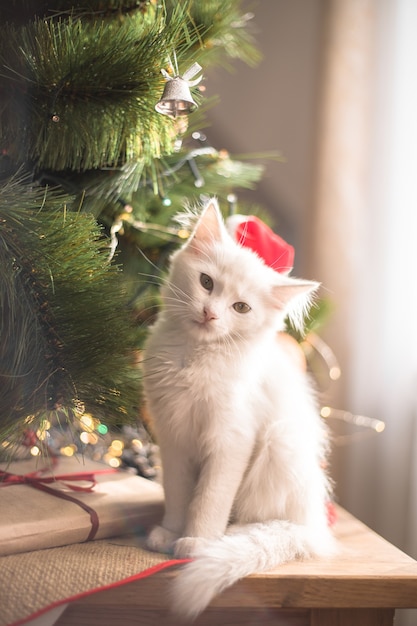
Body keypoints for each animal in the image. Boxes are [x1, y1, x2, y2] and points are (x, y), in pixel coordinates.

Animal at [141, 197, 334, 616]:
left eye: (241, 307)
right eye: (206, 283)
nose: (210, 313)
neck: (194, 360)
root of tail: (315, 524)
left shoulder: (231, 440)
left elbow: (209, 499)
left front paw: (197, 542)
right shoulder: (174, 438)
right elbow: (178, 494)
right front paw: (171, 531)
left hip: (279, 442)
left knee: (271, 522)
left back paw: (234, 535)